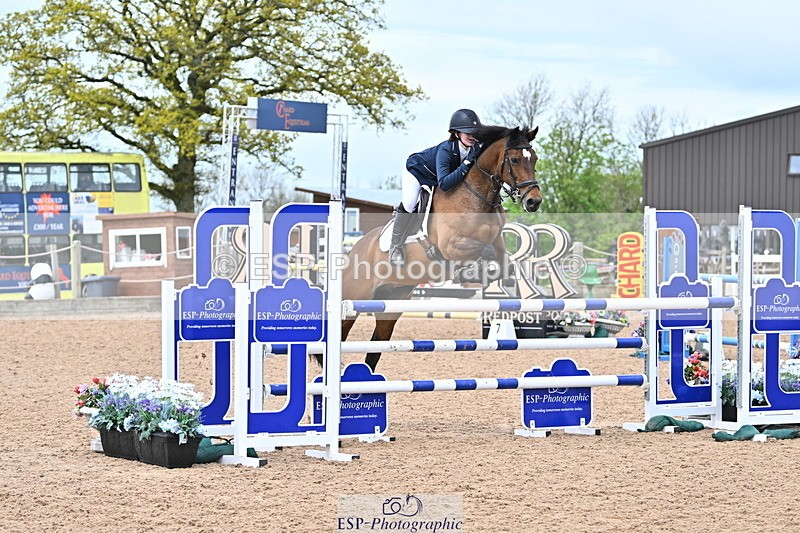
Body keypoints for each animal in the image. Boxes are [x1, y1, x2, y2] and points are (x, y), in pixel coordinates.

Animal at [332, 125, 542, 371]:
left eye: (534, 158)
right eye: (515, 160)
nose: (534, 201)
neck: (477, 198)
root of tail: (354, 251)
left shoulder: (497, 244)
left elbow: (505, 264)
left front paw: (477, 275)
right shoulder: (452, 246)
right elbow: (484, 253)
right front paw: (466, 273)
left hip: (390, 305)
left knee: (374, 351)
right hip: (353, 301)